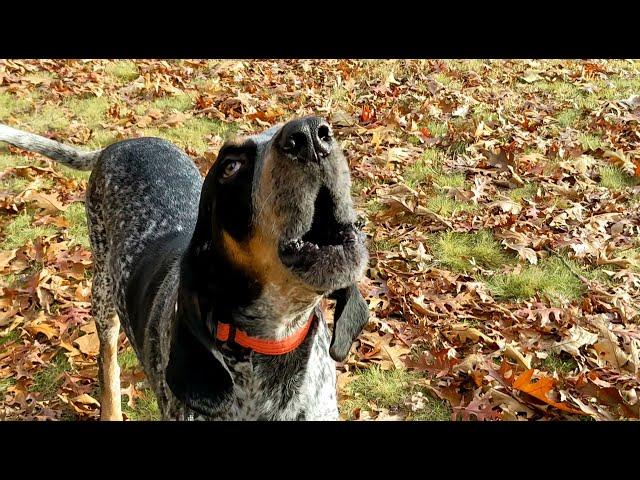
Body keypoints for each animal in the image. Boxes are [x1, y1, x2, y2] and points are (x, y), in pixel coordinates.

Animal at [0, 118, 370, 422]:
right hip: (103, 295)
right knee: (108, 362)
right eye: (230, 166)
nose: (310, 134)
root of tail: (119, 144)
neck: (272, 347)